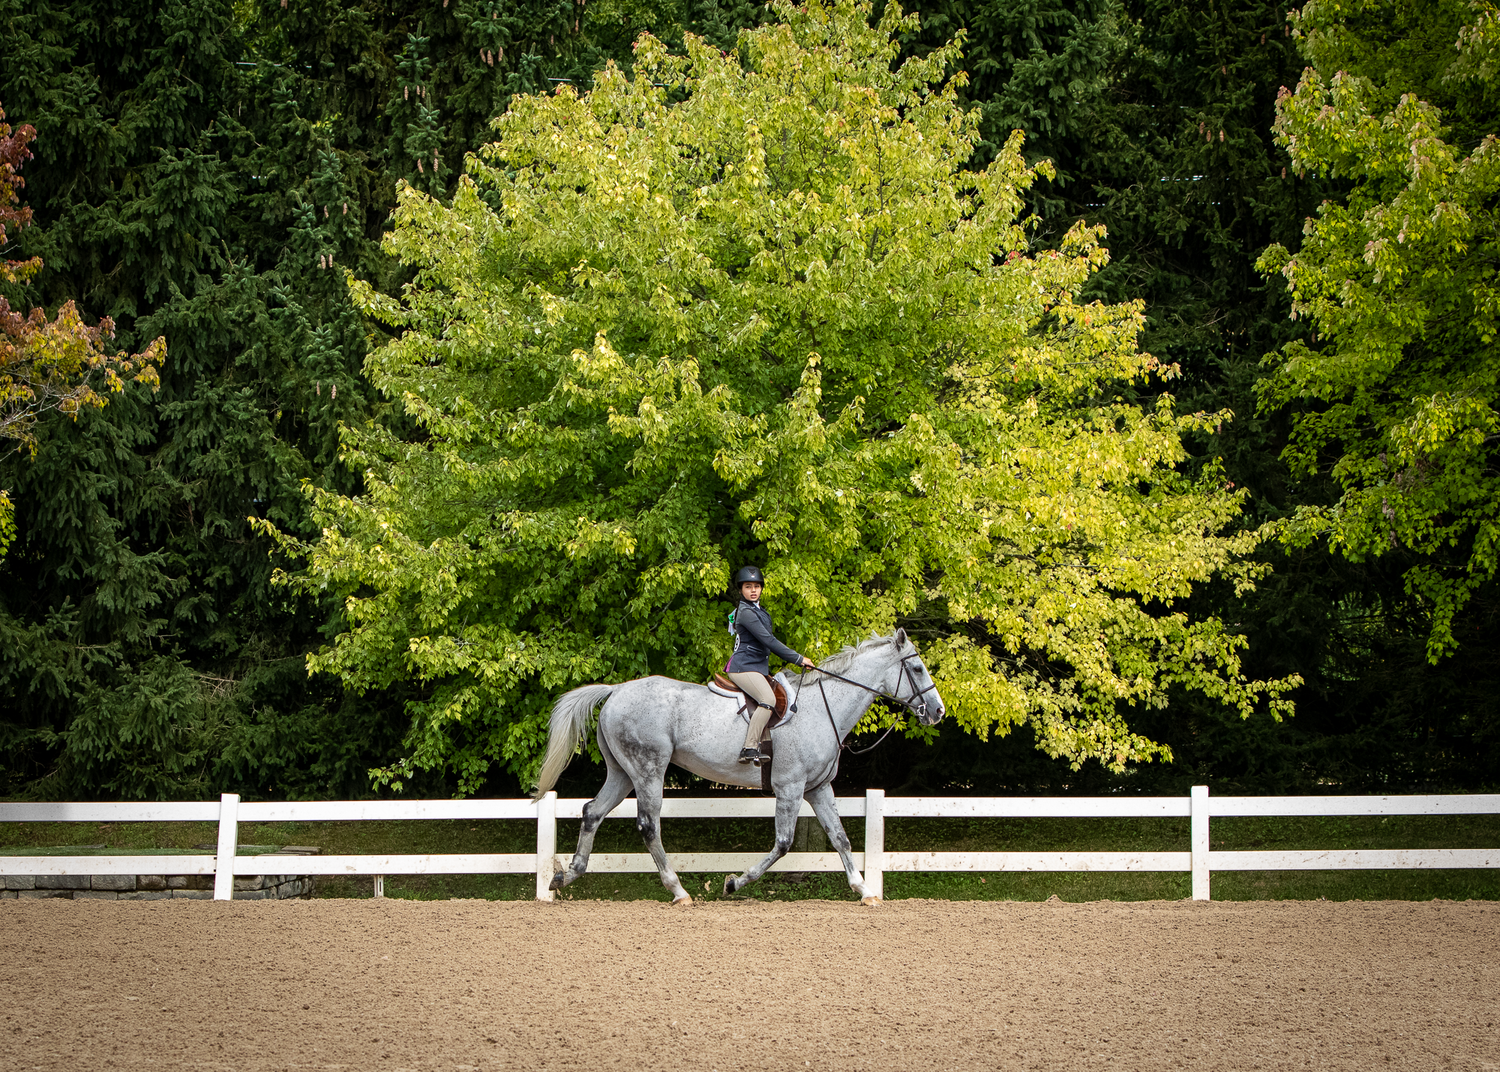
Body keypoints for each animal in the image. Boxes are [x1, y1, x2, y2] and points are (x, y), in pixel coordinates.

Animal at [532, 628, 946, 905]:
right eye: (918, 669)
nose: (938, 711)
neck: (821, 708)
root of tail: (617, 689)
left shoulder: (817, 789)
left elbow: (841, 838)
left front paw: (864, 890)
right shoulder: (790, 788)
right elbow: (783, 844)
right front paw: (734, 883)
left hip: (622, 774)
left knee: (592, 812)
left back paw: (564, 877)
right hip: (649, 771)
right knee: (648, 826)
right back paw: (678, 890)